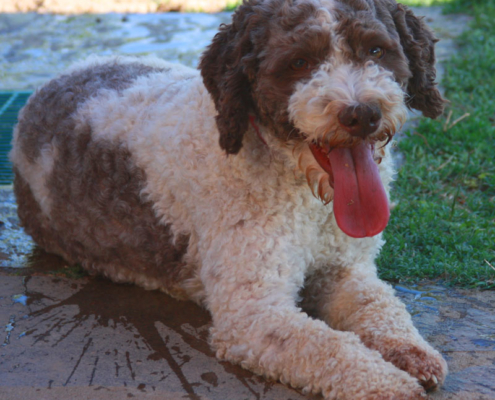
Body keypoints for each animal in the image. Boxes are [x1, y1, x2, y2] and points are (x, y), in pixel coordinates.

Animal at [11, 0, 448, 398]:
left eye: (376, 50)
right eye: (299, 62)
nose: (362, 114)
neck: (308, 197)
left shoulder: (345, 268)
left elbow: (381, 305)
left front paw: (411, 351)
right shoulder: (253, 313)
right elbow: (331, 347)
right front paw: (390, 384)